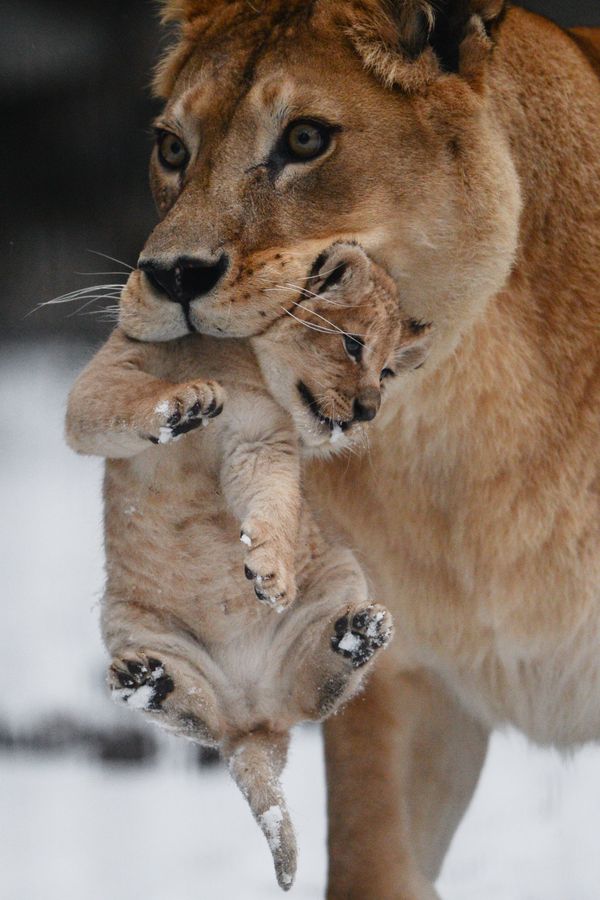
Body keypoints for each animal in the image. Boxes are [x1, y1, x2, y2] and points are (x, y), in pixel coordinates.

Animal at [66, 243, 434, 890]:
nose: (368, 411)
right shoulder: (102, 380)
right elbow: (119, 402)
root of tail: (256, 721)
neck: (231, 357)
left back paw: (356, 637)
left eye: (389, 372)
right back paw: (147, 681)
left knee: (316, 696)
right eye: (354, 345)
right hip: (128, 621)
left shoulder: (261, 440)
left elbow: (271, 499)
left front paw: (271, 572)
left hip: (341, 574)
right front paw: (184, 404)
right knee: (199, 719)